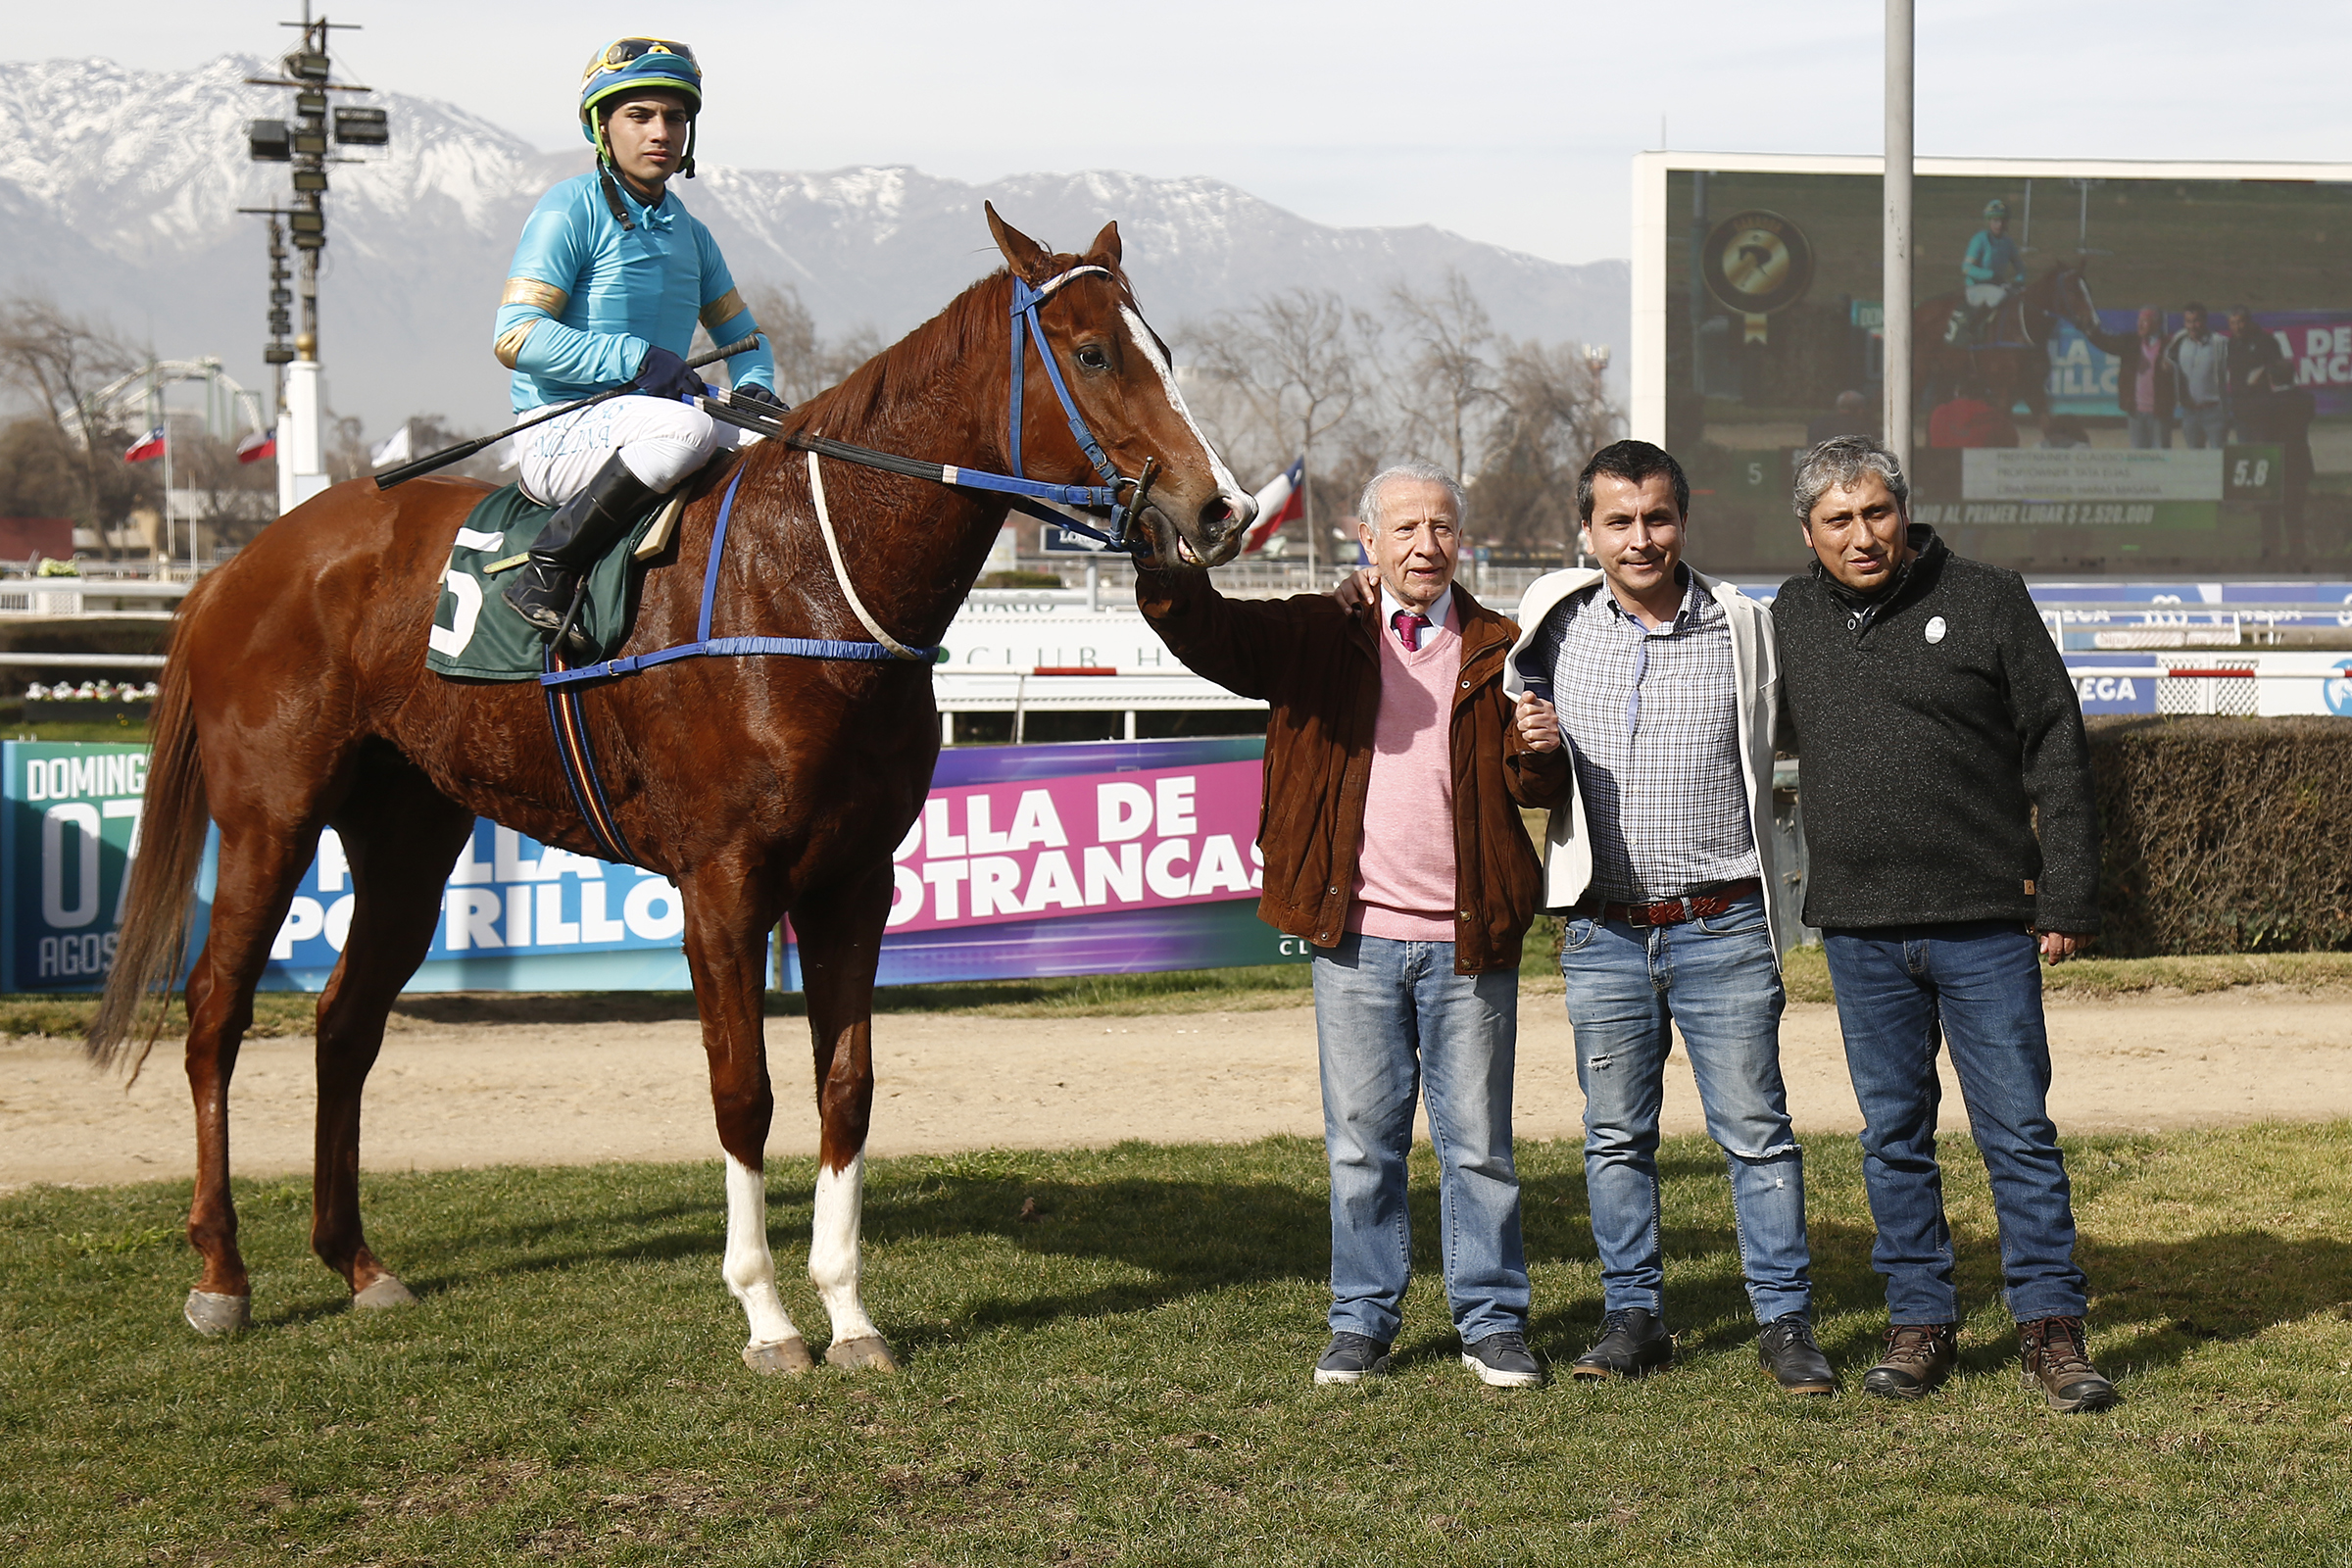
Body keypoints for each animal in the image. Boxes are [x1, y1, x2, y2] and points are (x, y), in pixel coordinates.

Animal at [85, 206, 1255, 1374]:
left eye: (1159, 346)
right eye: (1093, 352)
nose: (1224, 508)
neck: (810, 584)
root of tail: (237, 566)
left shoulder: (855, 879)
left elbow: (847, 1089)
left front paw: (851, 1315)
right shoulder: (723, 885)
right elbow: (744, 1091)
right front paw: (769, 1319)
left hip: (410, 837)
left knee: (346, 1022)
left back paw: (358, 1264)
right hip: (270, 821)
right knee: (216, 1012)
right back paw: (222, 1275)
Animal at [1913, 258, 2099, 432]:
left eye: (2089, 289)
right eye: (2071, 290)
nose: (2093, 323)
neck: (2021, 329)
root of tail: (1921, 308)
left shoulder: (2033, 390)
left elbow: (2047, 425)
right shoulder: (2002, 393)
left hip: (1947, 375)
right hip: (1922, 371)